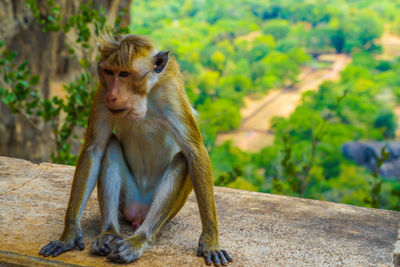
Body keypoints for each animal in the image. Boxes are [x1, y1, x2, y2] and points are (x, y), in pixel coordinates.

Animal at [39, 31, 233, 266]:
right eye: (109, 72)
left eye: (124, 74)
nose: (113, 95)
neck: (142, 97)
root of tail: (138, 214)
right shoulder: (101, 91)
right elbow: (94, 149)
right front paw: (69, 236)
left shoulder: (171, 93)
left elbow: (194, 152)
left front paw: (211, 241)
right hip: (127, 200)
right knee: (111, 146)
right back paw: (109, 233)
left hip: (164, 209)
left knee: (181, 160)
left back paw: (138, 241)